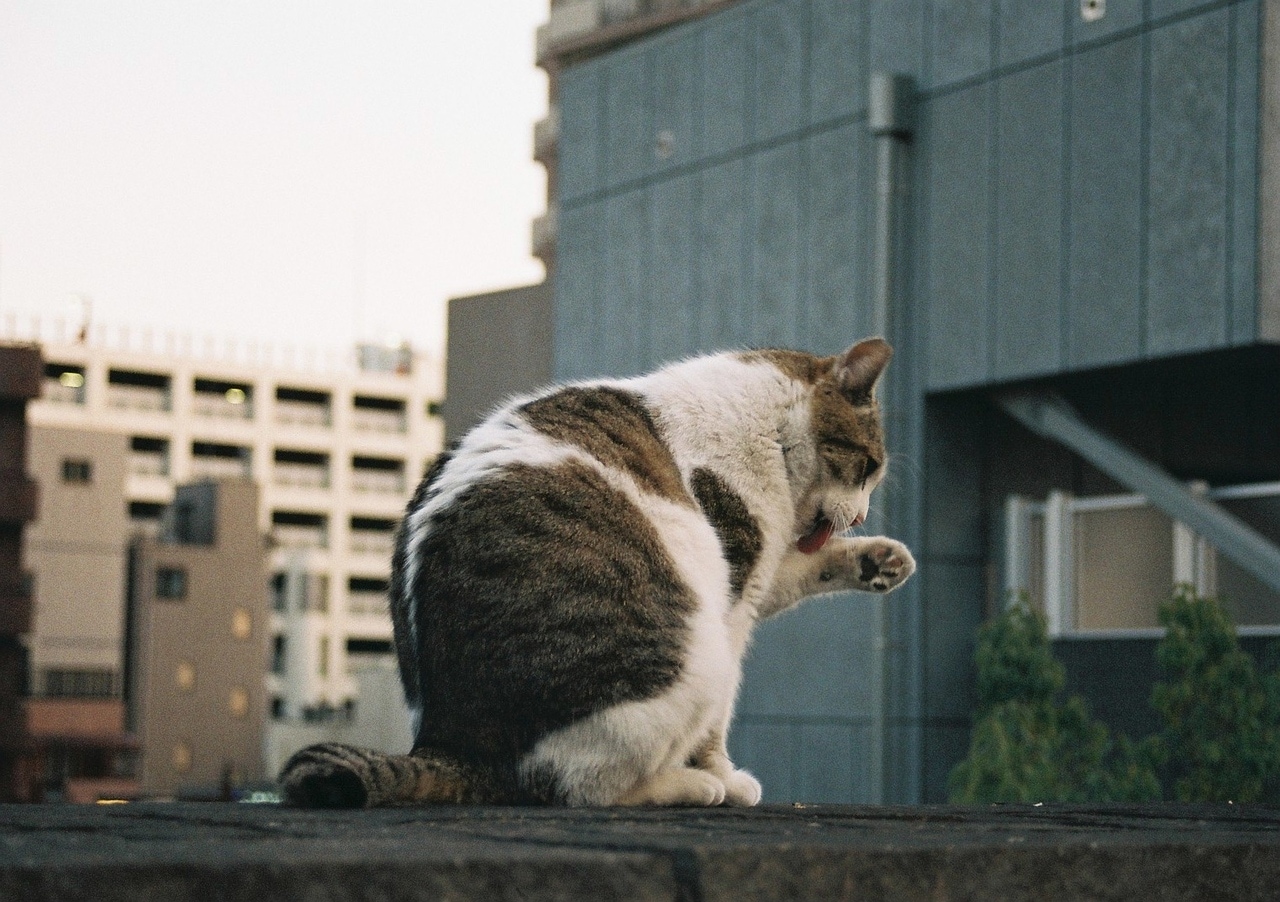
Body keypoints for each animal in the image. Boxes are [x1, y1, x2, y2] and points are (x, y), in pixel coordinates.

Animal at [285, 337, 916, 808]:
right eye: (868, 467)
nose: (861, 515)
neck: (768, 428)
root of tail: (450, 742)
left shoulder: (759, 573)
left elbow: (804, 568)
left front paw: (881, 559)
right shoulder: (736, 586)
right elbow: (717, 727)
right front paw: (724, 776)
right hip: (698, 652)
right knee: (583, 787)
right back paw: (690, 785)